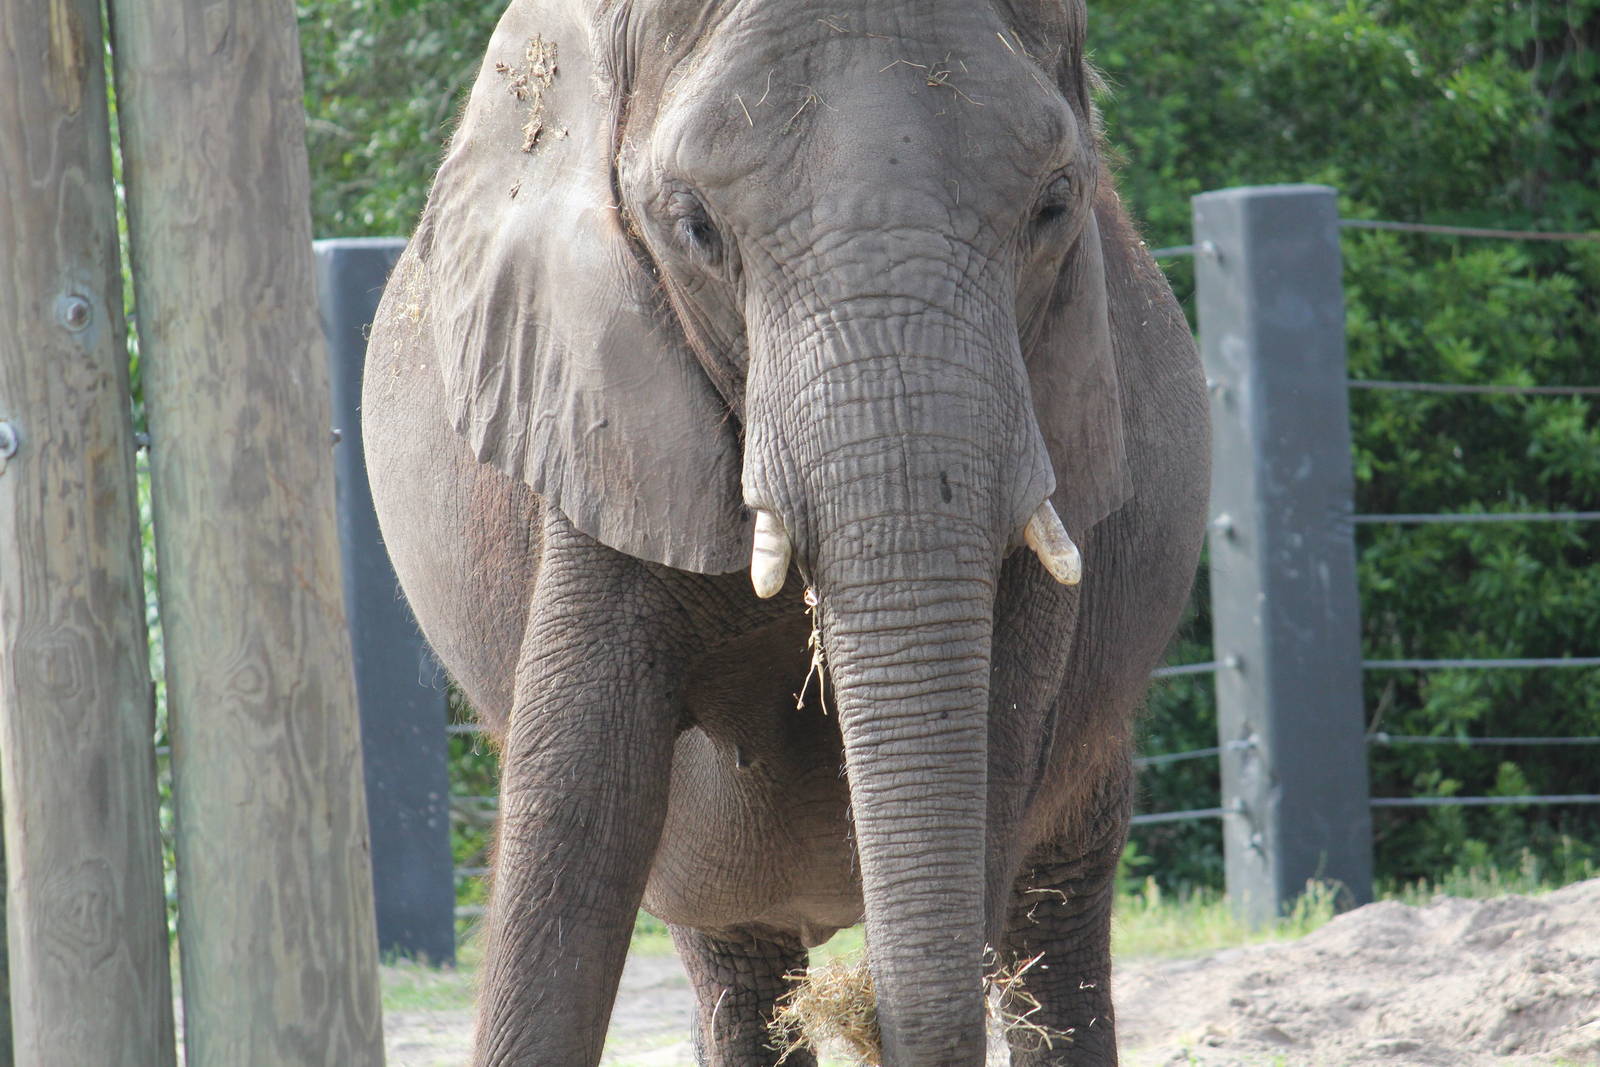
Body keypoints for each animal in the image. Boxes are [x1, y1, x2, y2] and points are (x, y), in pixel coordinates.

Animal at [361, 0, 1208, 1064]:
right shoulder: (600, 409)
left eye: (1056, 206)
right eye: (695, 228)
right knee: (732, 956)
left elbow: (987, 752)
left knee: (1056, 918)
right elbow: (578, 805)